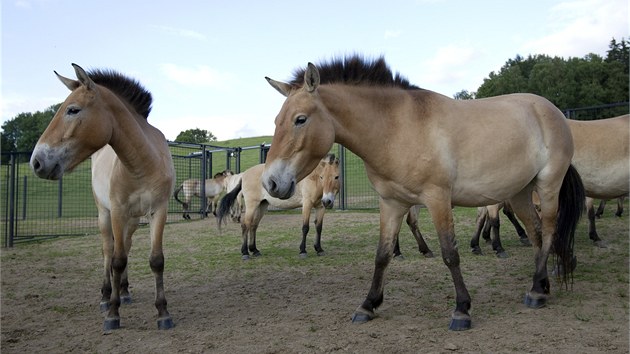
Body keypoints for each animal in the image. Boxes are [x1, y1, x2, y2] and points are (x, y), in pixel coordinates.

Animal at [29, 63, 175, 330]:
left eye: (73, 110)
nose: (37, 162)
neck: (142, 163)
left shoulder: (158, 211)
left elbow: (156, 260)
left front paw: (163, 312)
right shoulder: (117, 211)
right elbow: (116, 260)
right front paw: (113, 314)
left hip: (133, 220)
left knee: (125, 245)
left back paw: (124, 292)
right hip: (104, 215)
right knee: (109, 251)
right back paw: (107, 296)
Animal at [262, 54, 588, 330]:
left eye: (300, 119)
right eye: (276, 122)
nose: (271, 183)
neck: (397, 128)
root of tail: (551, 110)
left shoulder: (437, 199)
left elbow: (450, 253)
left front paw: (462, 309)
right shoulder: (392, 203)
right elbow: (382, 255)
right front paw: (368, 305)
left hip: (548, 186)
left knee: (548, 231)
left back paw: (536, 292)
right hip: (521, 193)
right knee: (536, 234)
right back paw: (541, 284)